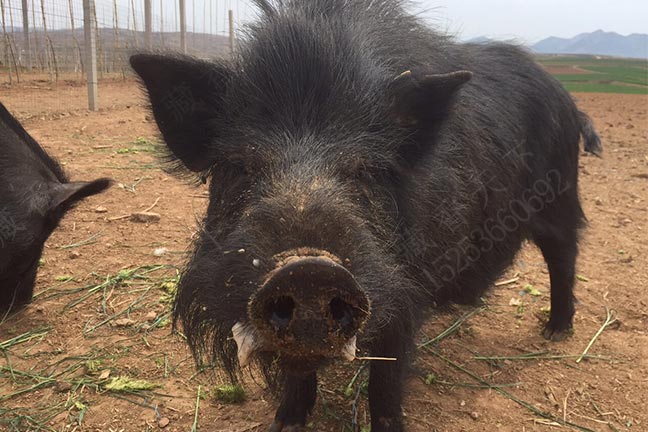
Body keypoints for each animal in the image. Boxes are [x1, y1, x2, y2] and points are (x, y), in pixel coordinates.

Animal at [132, 0, 604, 428]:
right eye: (241, 165)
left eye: (366, 170)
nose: (307, 269)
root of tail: (570, 103)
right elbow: (297, 373)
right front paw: (285, 424)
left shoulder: (407, 287)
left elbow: (387, 377)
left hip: (560, 196)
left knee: (564, 255)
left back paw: (556, 331)